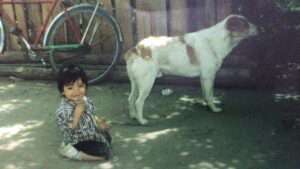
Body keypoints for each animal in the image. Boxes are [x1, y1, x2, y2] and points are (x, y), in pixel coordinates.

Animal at [124, 14, 258, 125]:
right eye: (245, 24)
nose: (259, 27)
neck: (217, 40)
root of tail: (136, 49)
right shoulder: (209, 76)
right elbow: (210, 95)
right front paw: (214, 109)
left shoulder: (204, 77)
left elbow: (206, 94)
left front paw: (207, 106)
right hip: (147, 83)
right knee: (138, 102)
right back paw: (141, 121)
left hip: (135, 83)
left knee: (130, 98)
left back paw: (133, 116)